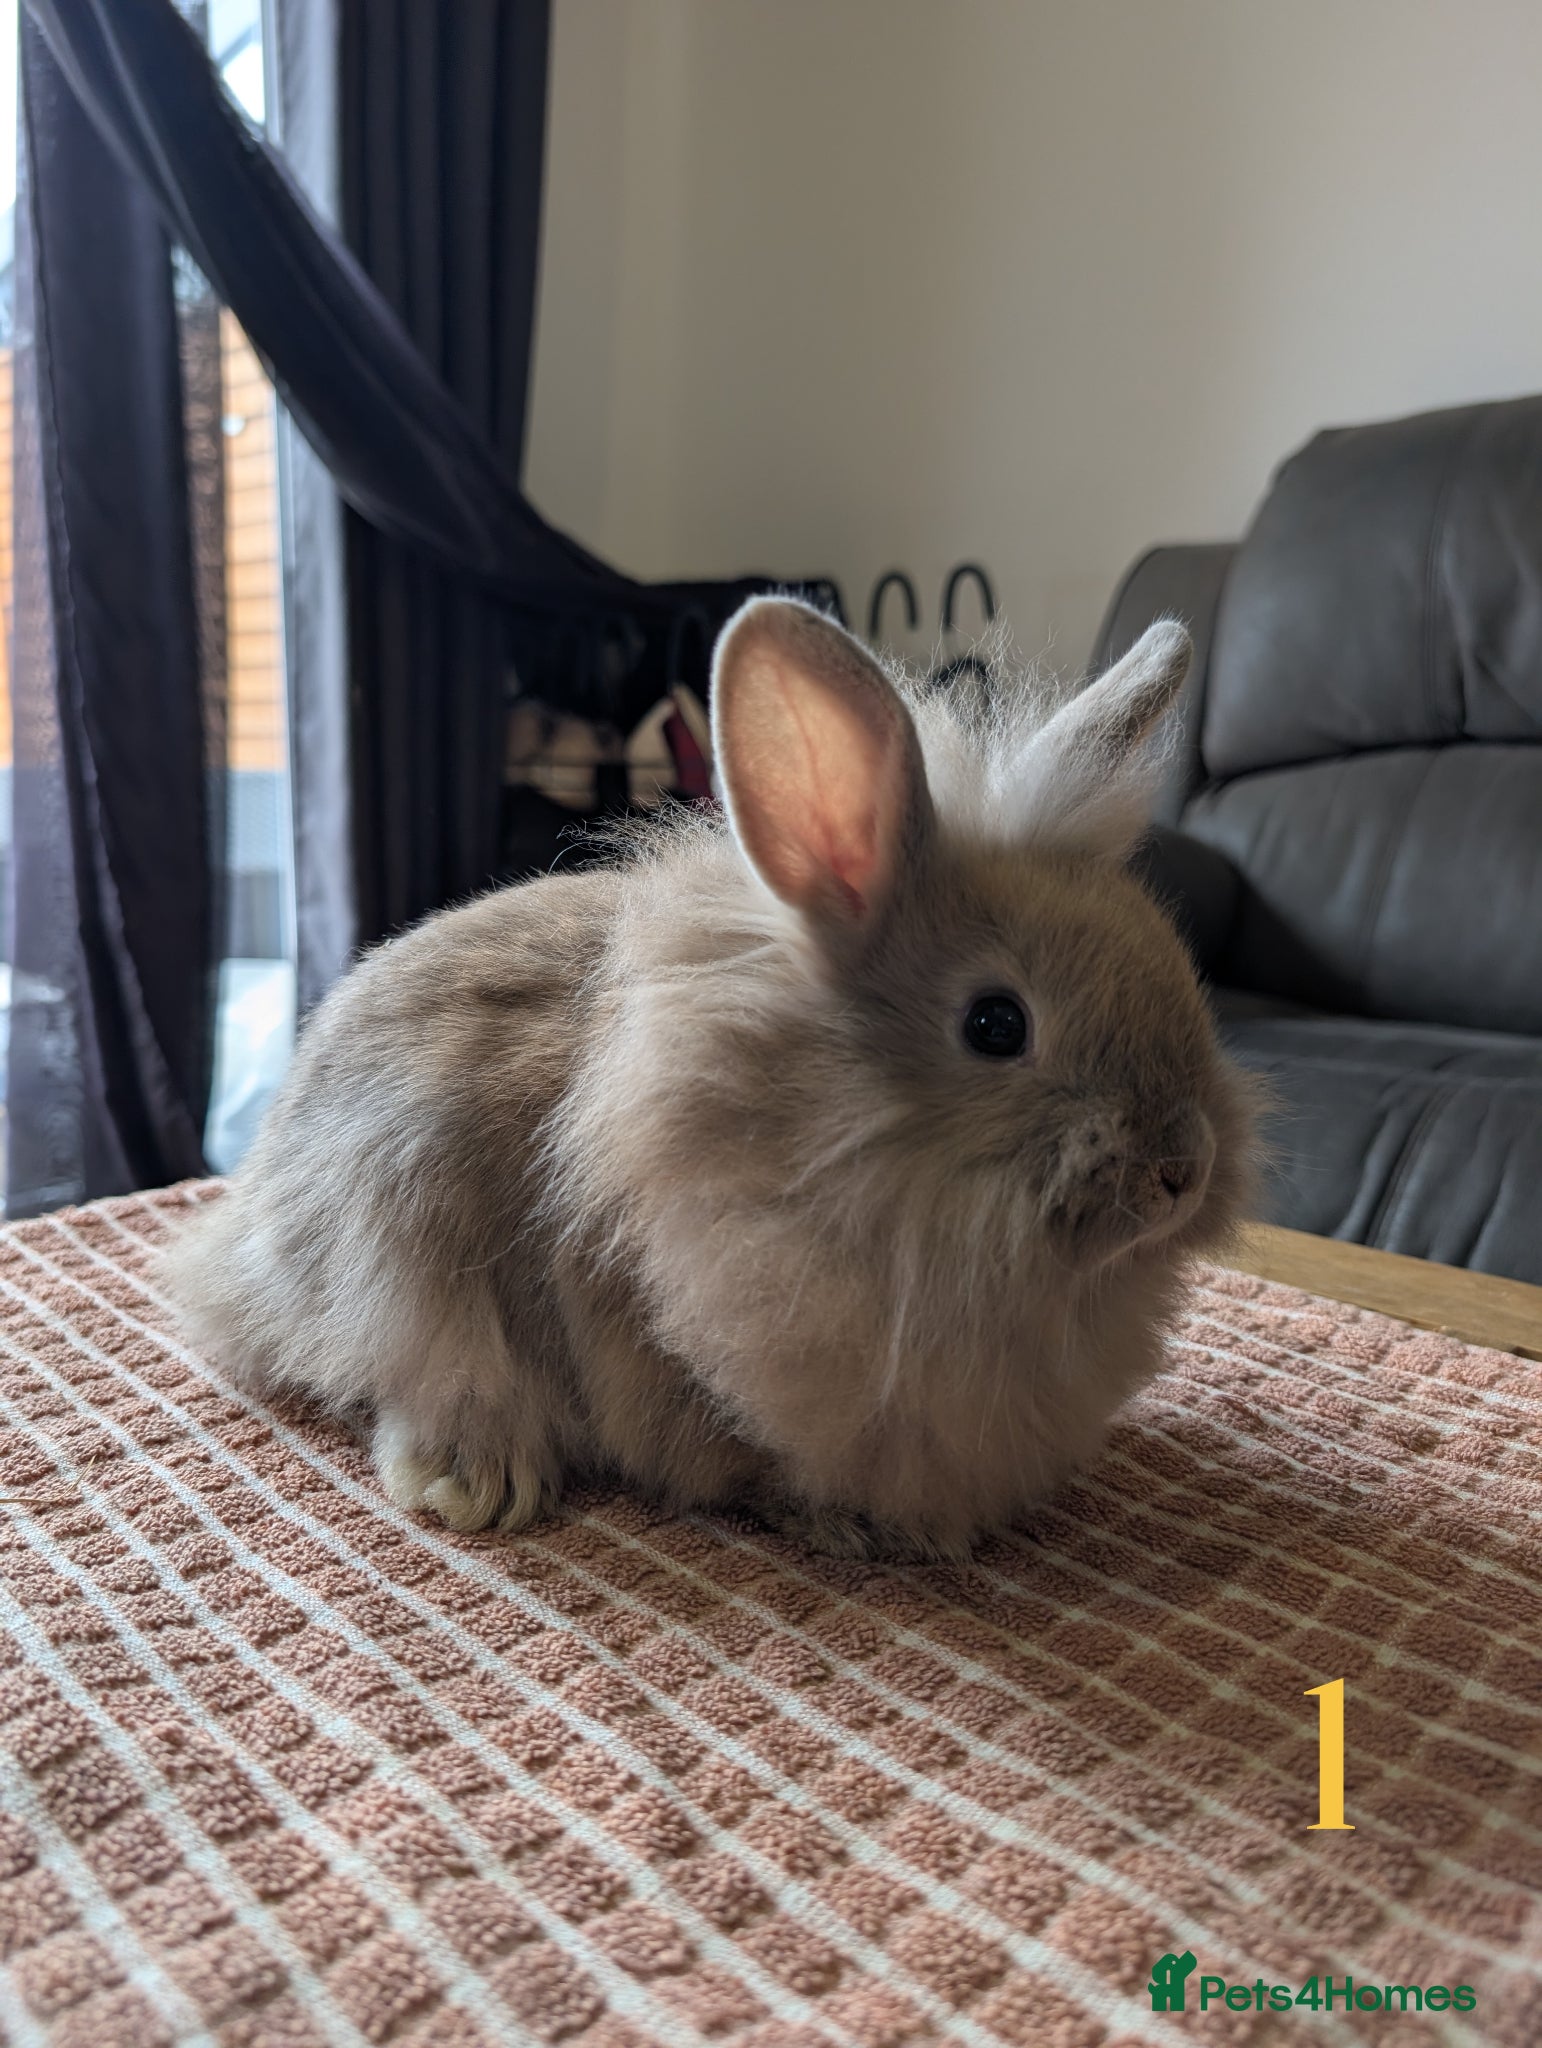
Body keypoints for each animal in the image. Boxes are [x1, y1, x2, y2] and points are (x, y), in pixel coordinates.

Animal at [166, 597, 1254, 1561]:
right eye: (997, 1024)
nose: (1183, 1168)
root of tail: (246, 1221)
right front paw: (871, 1526)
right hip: (397, 1246)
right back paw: (478, 1478)